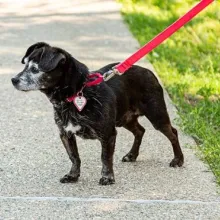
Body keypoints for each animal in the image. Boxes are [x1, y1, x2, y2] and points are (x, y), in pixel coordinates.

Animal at [11, 42, 184, 185]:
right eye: (25, 66)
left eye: (35, 69)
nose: (13, 80)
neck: (77, 93)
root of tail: (149, 72)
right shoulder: (65, 134)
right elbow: (74, 157)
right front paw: (73, 176)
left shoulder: (108, 134)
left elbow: (105, 157)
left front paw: (107, 177)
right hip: (124, 119)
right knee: (140, 131)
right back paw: (132, 155)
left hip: (157, 115)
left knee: (173, 133)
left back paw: (178, 159)